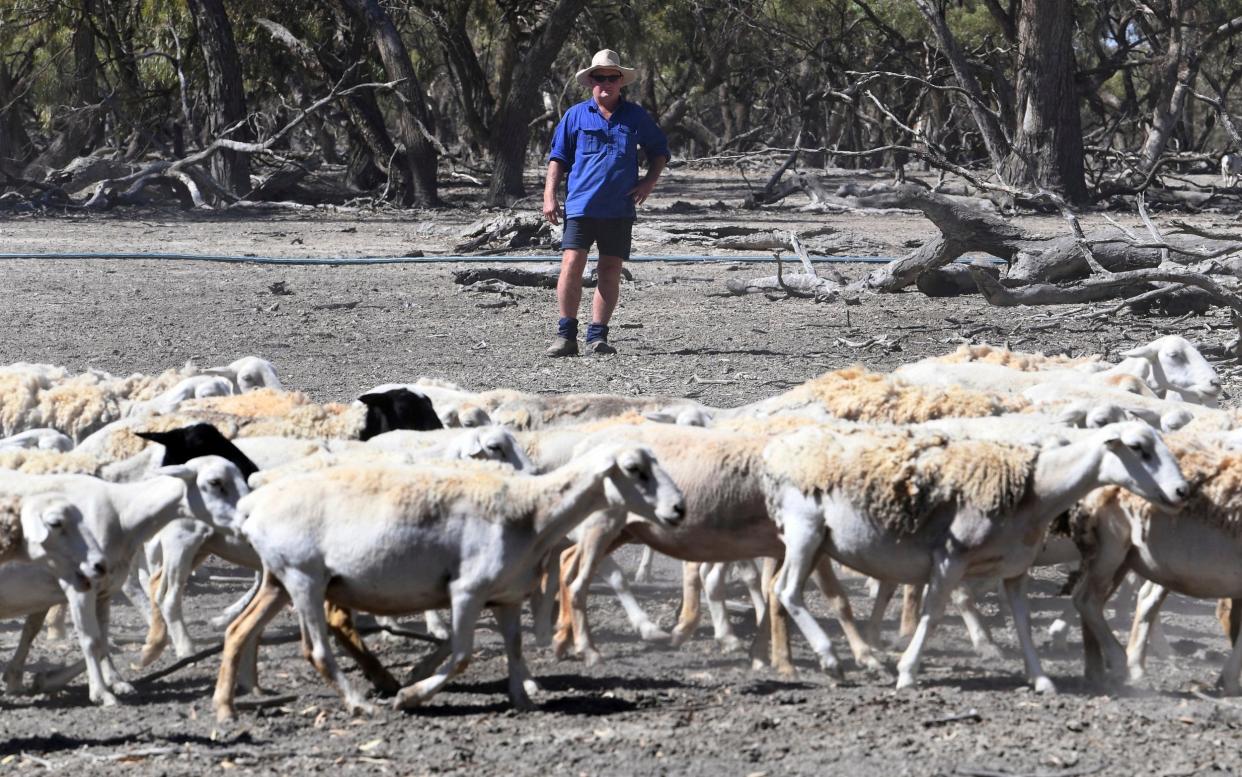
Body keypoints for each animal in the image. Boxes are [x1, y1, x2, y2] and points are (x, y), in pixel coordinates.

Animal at [211, 444, 690, 714]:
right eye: (635, 469)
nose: (679, 510)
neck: (532, 512)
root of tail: (253, 505)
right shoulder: (466, 591)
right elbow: (461, 656)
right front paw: (411, 696)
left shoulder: (507, 597)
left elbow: (515, 649)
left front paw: (523, 699)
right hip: (304, 578)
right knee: (316, 650)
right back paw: (360, 703)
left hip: (278, 580)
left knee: (238, 631)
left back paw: (225, 709)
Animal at [760, 419, 1187, 695]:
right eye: (1138, 449)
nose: (1182, 491)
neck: (1035, 489)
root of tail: (778, 453)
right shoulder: (951, 559)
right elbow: (932, 615)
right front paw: (908, 672)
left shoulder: (1015, 569)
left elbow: (1023, 623)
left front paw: (1040, 679)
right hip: (804, 529)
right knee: (787, 591)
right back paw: (831, 659)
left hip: (817, 541)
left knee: (782, 588)